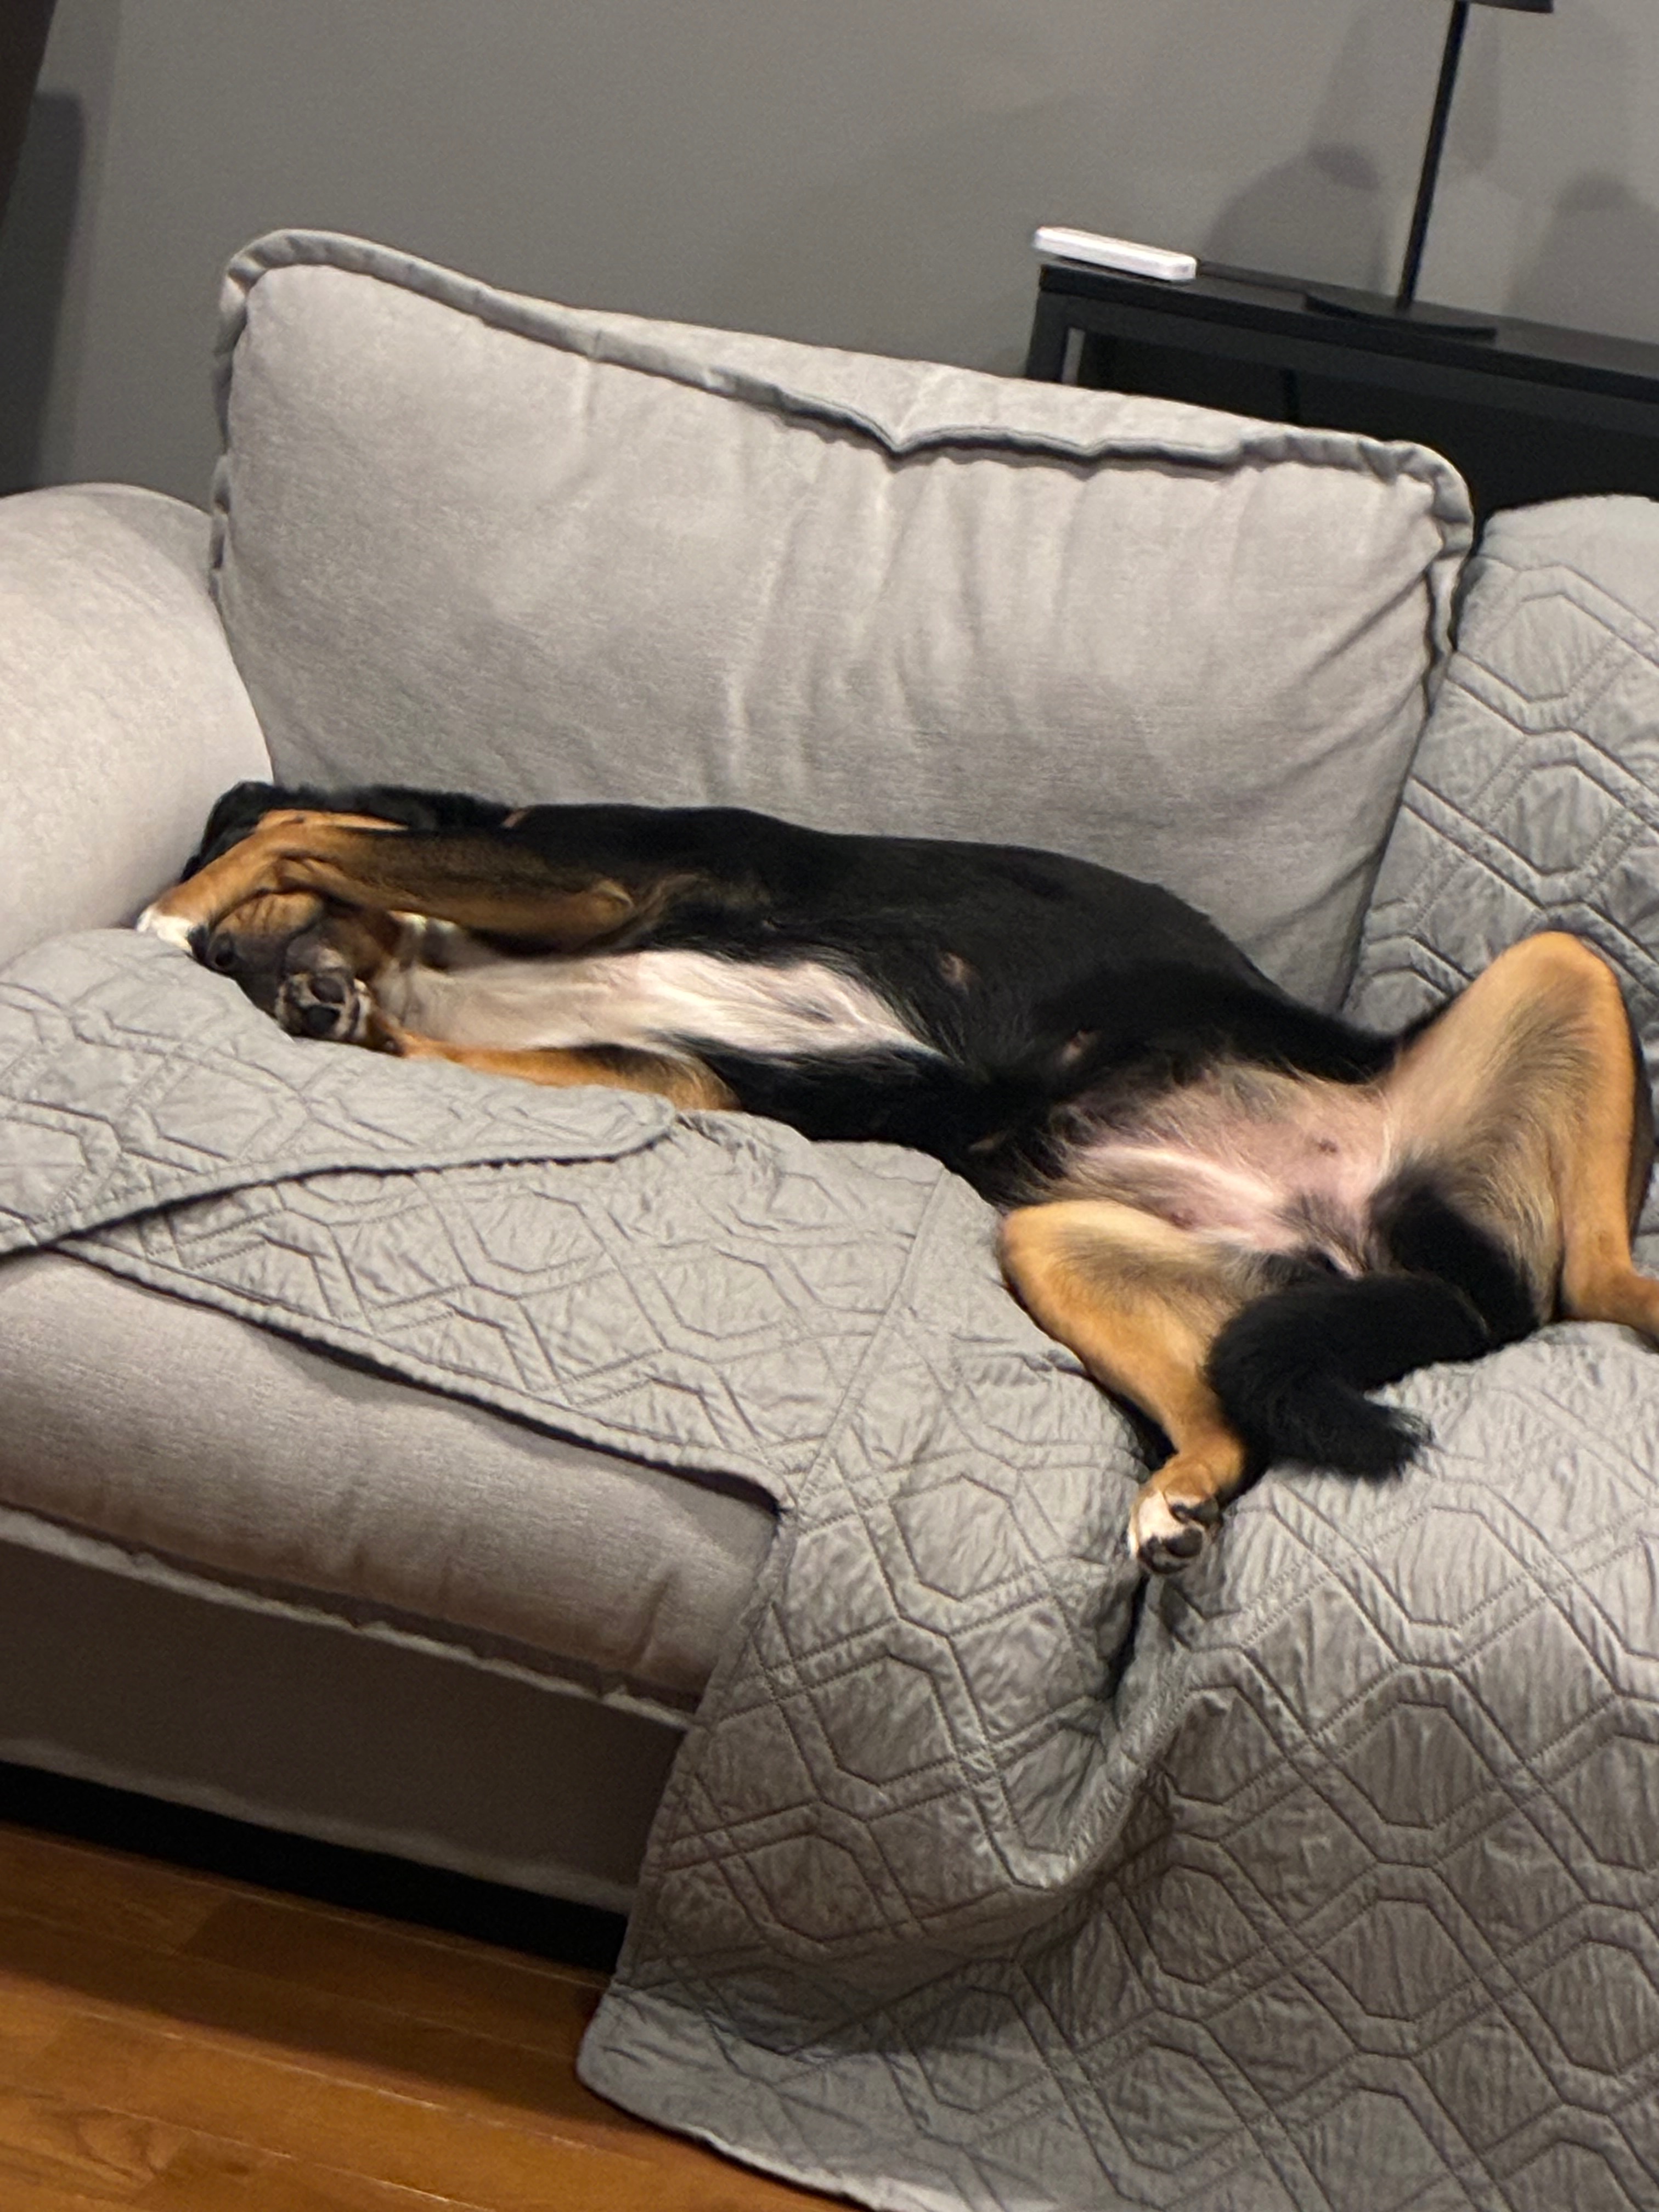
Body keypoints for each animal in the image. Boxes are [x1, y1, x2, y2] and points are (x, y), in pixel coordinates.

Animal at [138, 781, 1659, 1573]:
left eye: (243, 918)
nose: (258, 982)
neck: (433, 960)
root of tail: (1406, 1270)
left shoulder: (589, 884)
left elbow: (308, 830)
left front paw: (174, 909)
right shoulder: (669, 1071)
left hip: (1563, 966)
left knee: (1596, 1276)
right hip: (1065, 1248)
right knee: (1233, 1421)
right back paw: (1177, 1502)